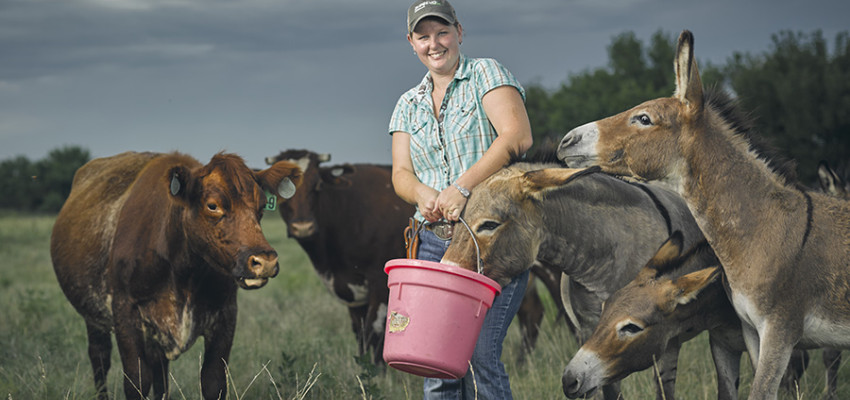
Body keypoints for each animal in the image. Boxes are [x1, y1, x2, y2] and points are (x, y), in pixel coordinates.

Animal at [50, 151, 302, 400]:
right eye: (212, 206)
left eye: (262, 206)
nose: (265, 261)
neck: (183, 273)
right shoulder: (125, 311)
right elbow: (136, 381)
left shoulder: (226, 314)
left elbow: (213, 381)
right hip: (94, 318)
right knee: (100, 359)